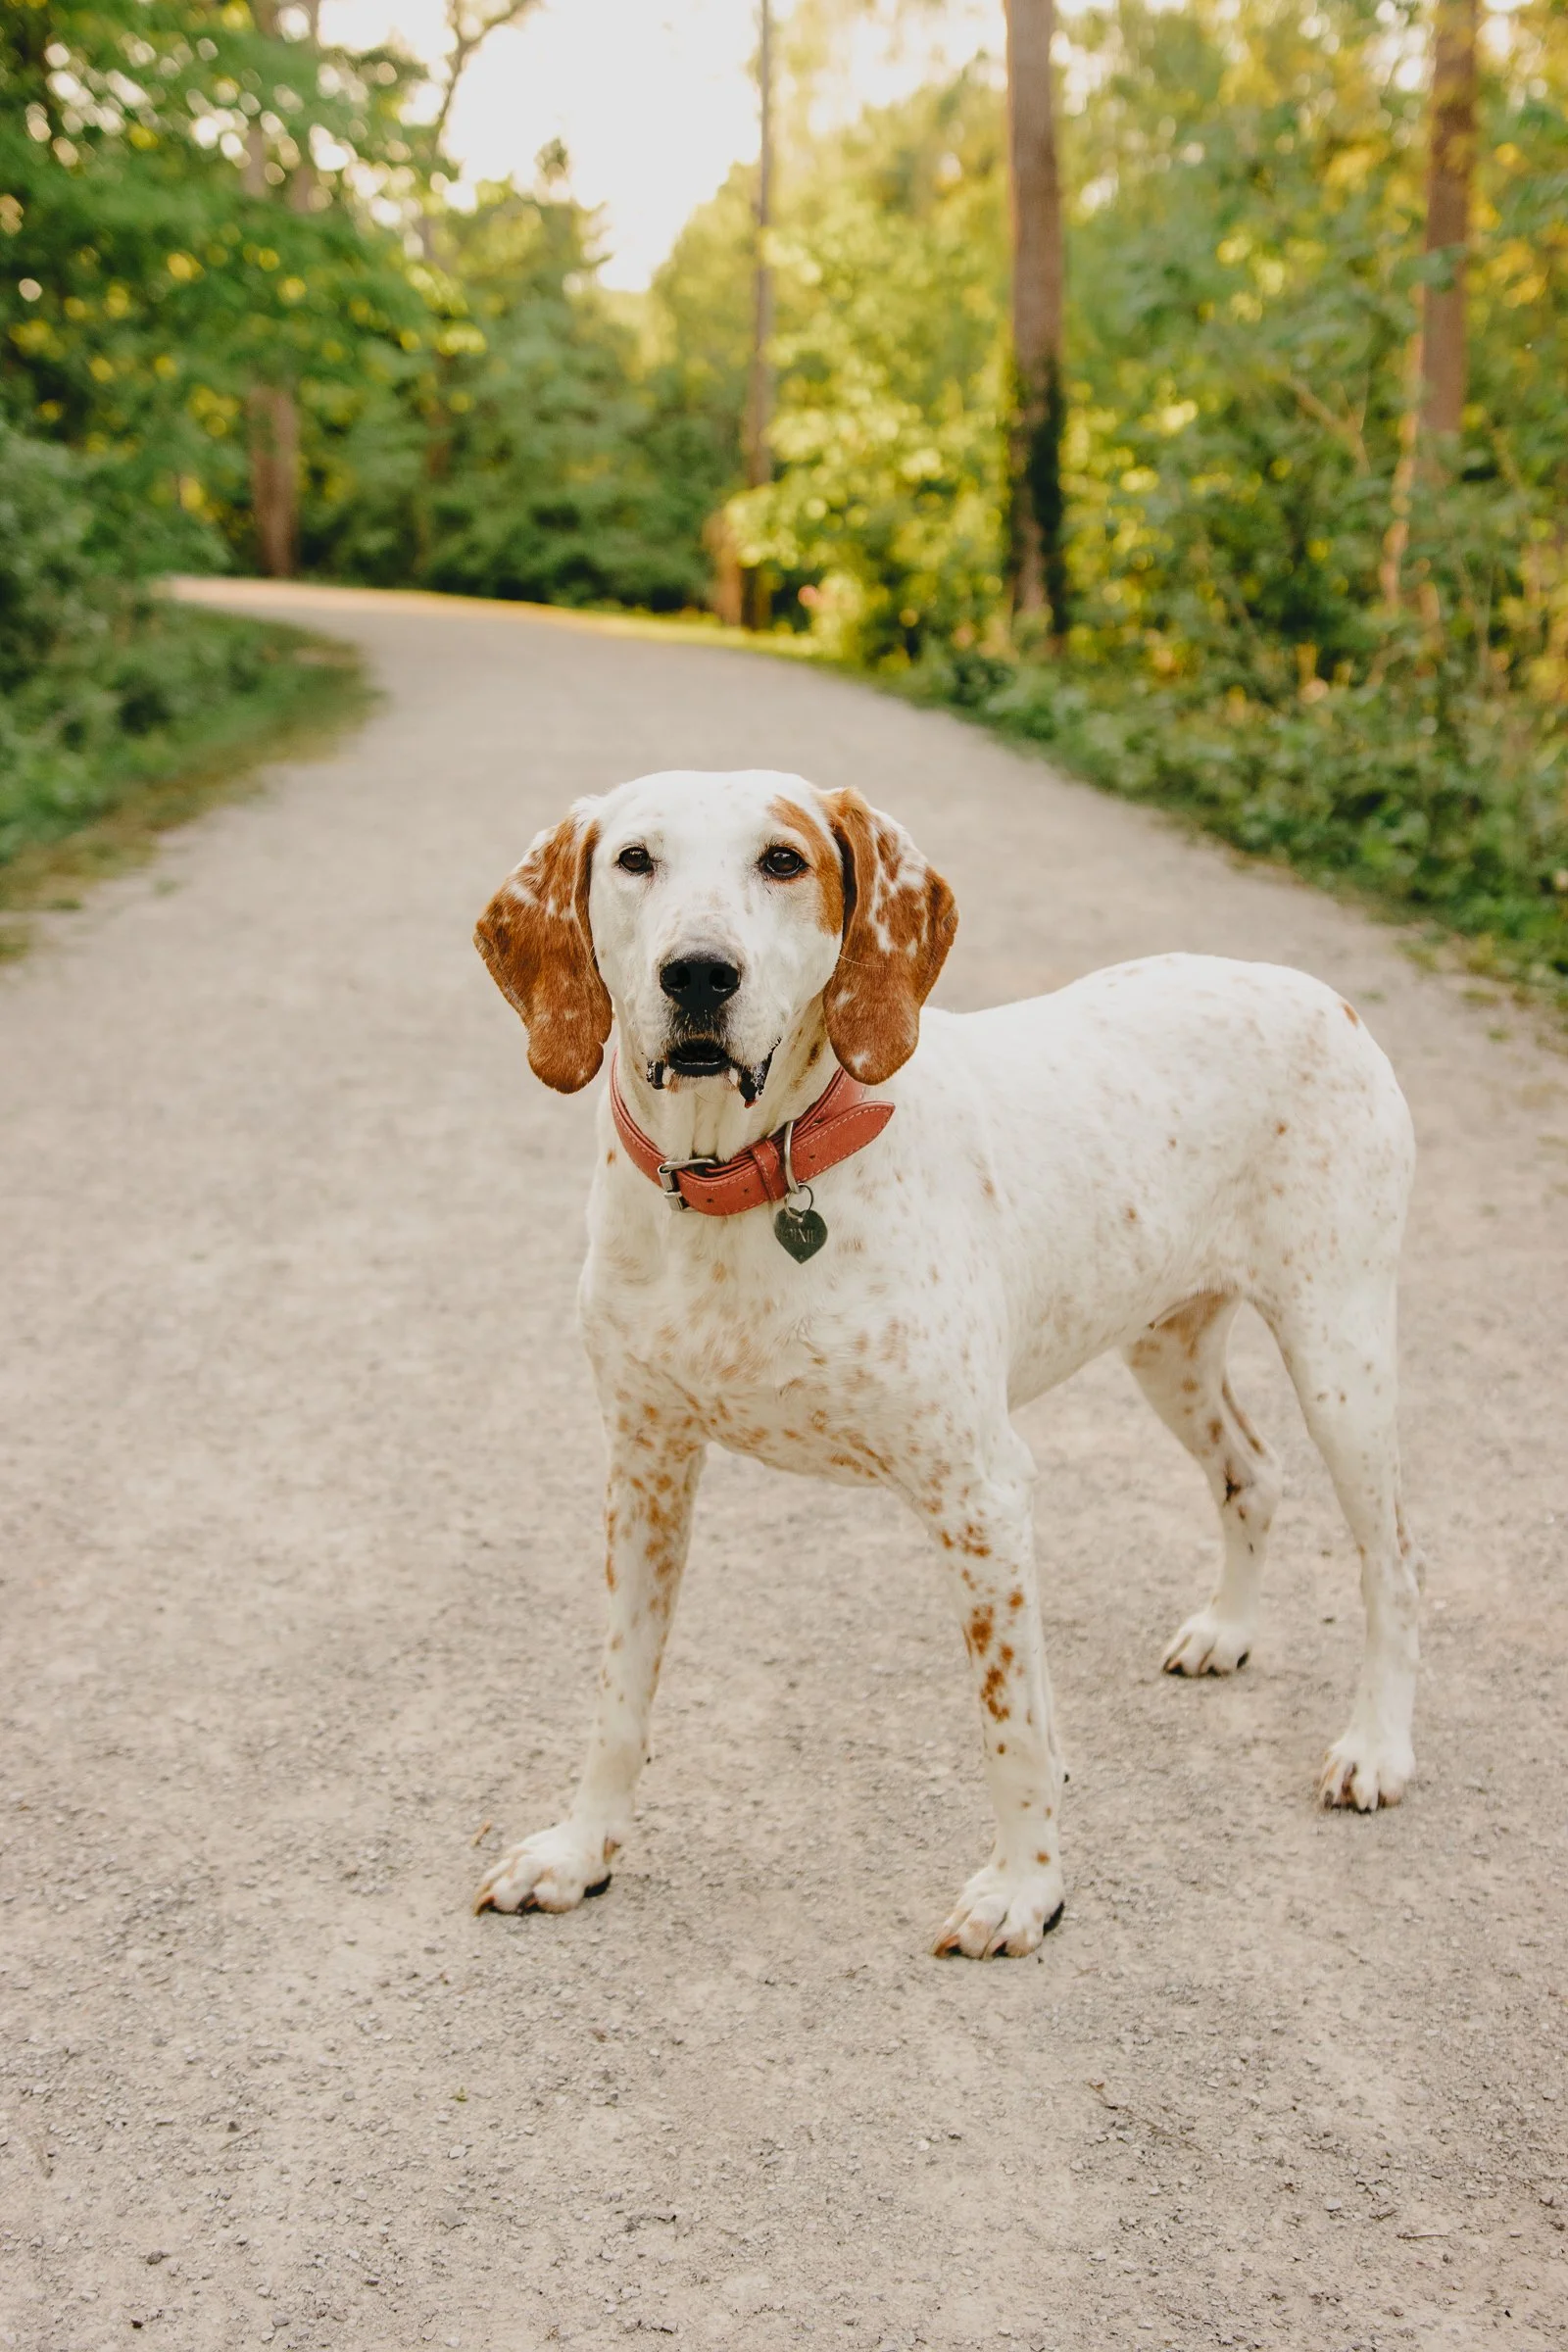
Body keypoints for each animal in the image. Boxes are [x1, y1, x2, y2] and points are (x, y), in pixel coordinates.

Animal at [470, 768, 1421, 1959]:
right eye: (635, 859)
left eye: (782, 862)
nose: (697, 973)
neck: (746, 1183)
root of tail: (1322, 995)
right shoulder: (646, 1473)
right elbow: (617, 1697)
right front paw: (578, 1851)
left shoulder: (981, 1494)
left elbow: (1012, 1726)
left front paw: (1025, 1890)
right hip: (1166, 1345)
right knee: (1251, 1473)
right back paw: (1226, 1631)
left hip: (1342, 1358)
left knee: (1391, 1561)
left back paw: (1377, 1747)